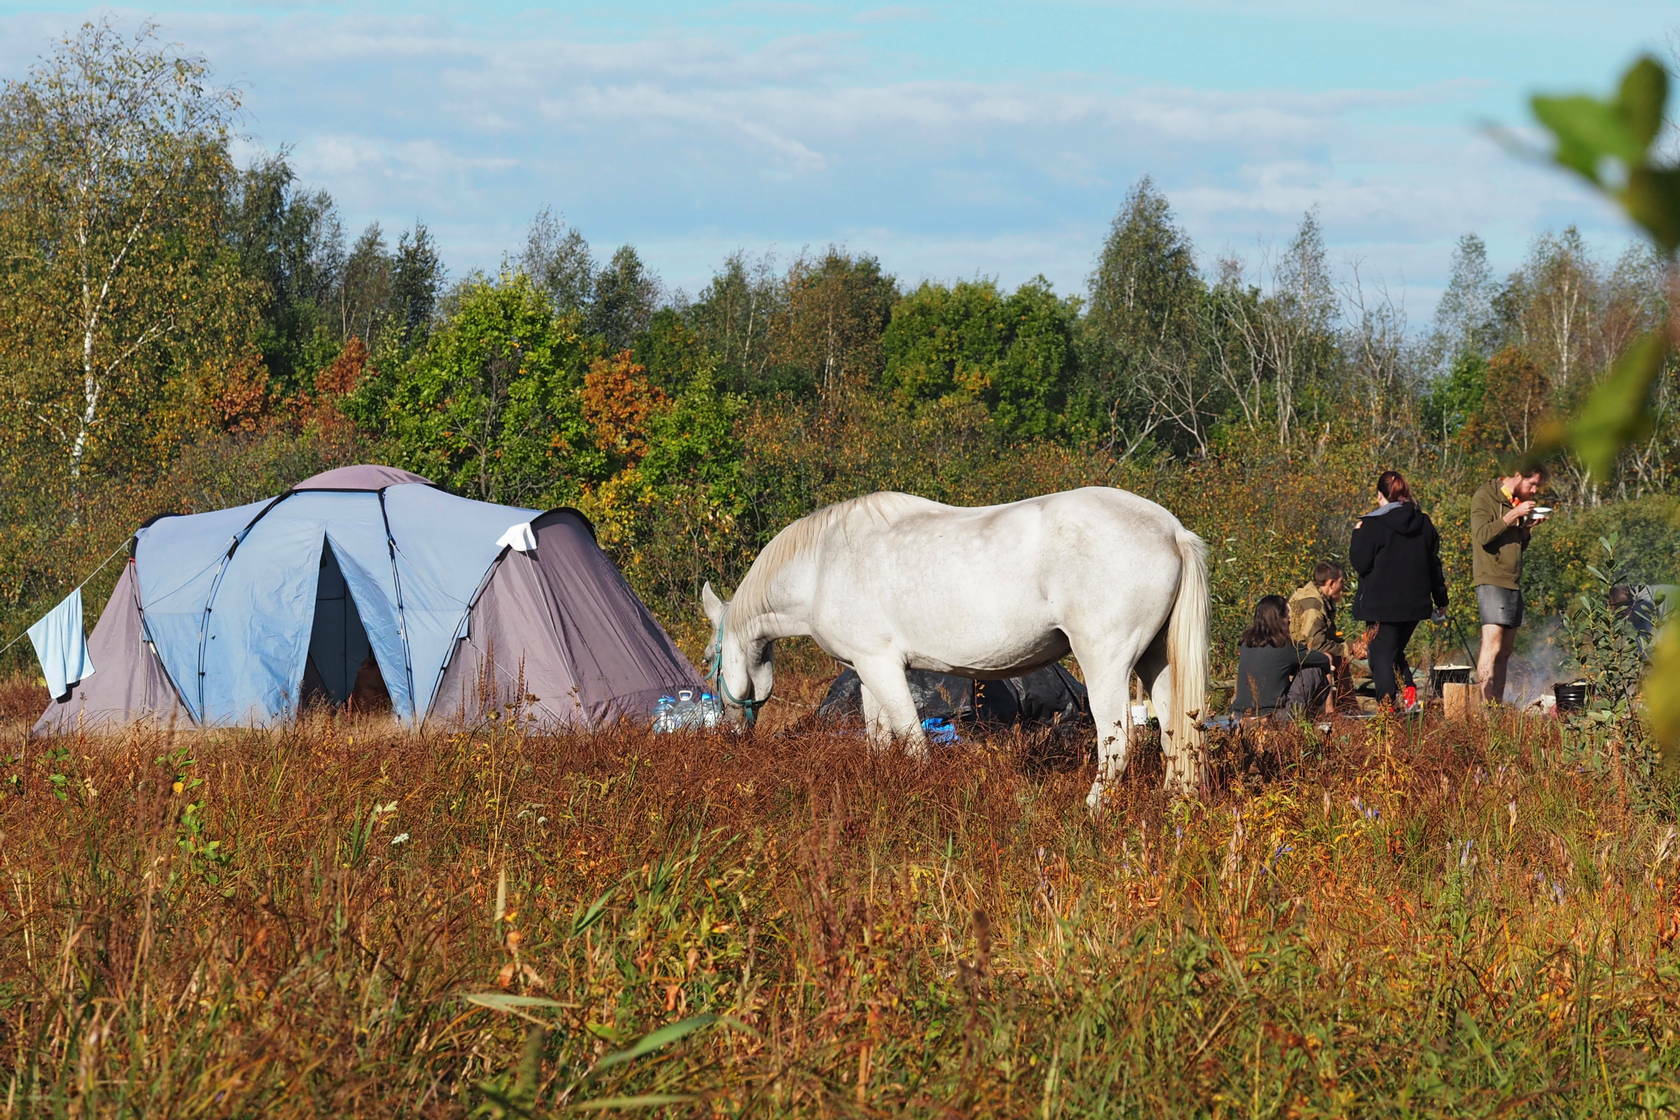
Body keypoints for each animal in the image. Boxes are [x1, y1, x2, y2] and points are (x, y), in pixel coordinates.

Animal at [698, 486, 1209, 805]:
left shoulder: (882, 666)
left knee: (1118, 739)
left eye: (708, 659)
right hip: (1156, 661)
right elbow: (879, 738)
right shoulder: (867, 670)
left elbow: (910, 737)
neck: (822, 563)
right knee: (1174, 733)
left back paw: (1093, 810)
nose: (731, 733)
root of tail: (1170, 530)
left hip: (1106, 661)